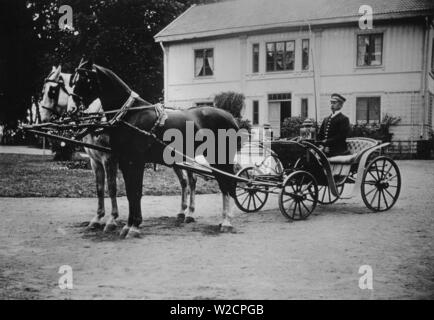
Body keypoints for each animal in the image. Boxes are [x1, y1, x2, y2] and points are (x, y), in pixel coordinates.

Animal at [39, 65, 198, 230]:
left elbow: (112, 187)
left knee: (192, 181)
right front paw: (97, 218)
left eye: (52, 91)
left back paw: (190, 213)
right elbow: (100, 188)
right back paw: (181, 212)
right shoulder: (95, 161)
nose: (43, 117)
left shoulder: (109, 159)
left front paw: (112, 219)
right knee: (184, 181)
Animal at [67, 60, 241, 238]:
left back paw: (226, 221)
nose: (72, 109)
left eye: (83, 79)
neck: (129, 115)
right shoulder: (123, 161)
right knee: (202, 182)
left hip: (220, 158)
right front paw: (128, 225)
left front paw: (133, 226)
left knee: (226, 184)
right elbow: (129, 192)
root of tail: (231, 117)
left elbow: (135, 192)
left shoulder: (134, 161)